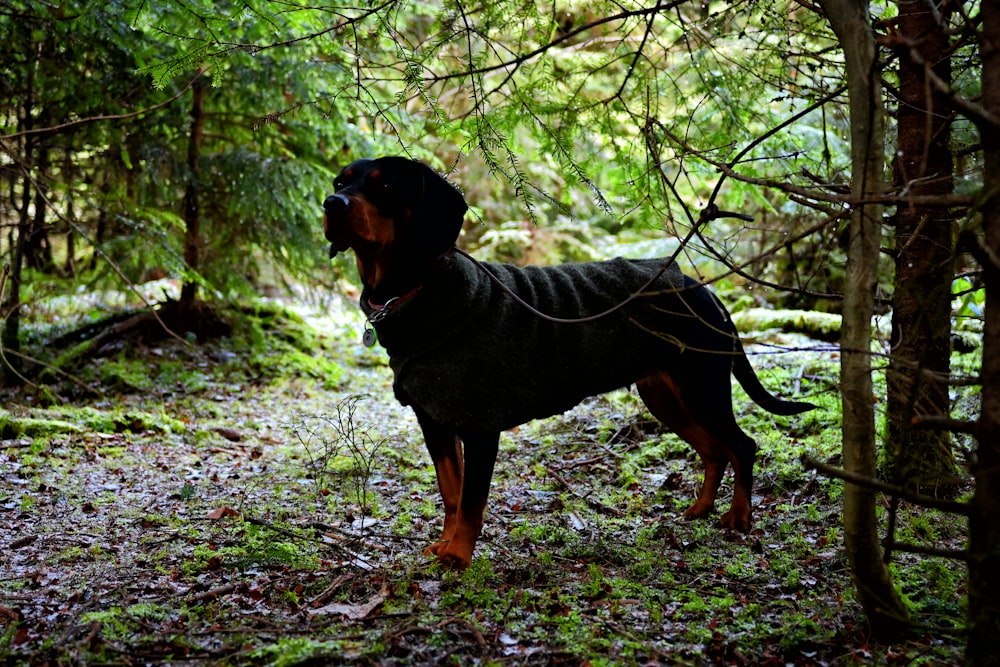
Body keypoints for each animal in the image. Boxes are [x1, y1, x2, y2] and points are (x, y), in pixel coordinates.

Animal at [324, 155, 816, 568]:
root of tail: (701, 289)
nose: (331, 203)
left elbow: (471, 501)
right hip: (666, 396)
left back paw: (739, 519)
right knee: (715, 450)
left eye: (386, 185)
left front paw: (458, 556)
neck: (420, 290)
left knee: (742, 446)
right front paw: (444, 544)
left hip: (702, 386)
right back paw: (700, 508)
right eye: (340, 182)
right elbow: (451, 493)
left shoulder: (480, 427)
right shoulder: (436, 423)